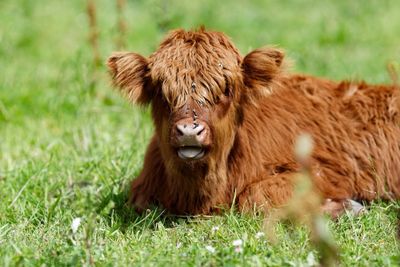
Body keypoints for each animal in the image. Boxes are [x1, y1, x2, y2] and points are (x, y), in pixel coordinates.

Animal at [106, 28, 400, 217]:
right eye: (161, 90)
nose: (189, 131)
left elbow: (256, 196)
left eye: (226, 89)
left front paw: (348, 207)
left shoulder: (327, 171)